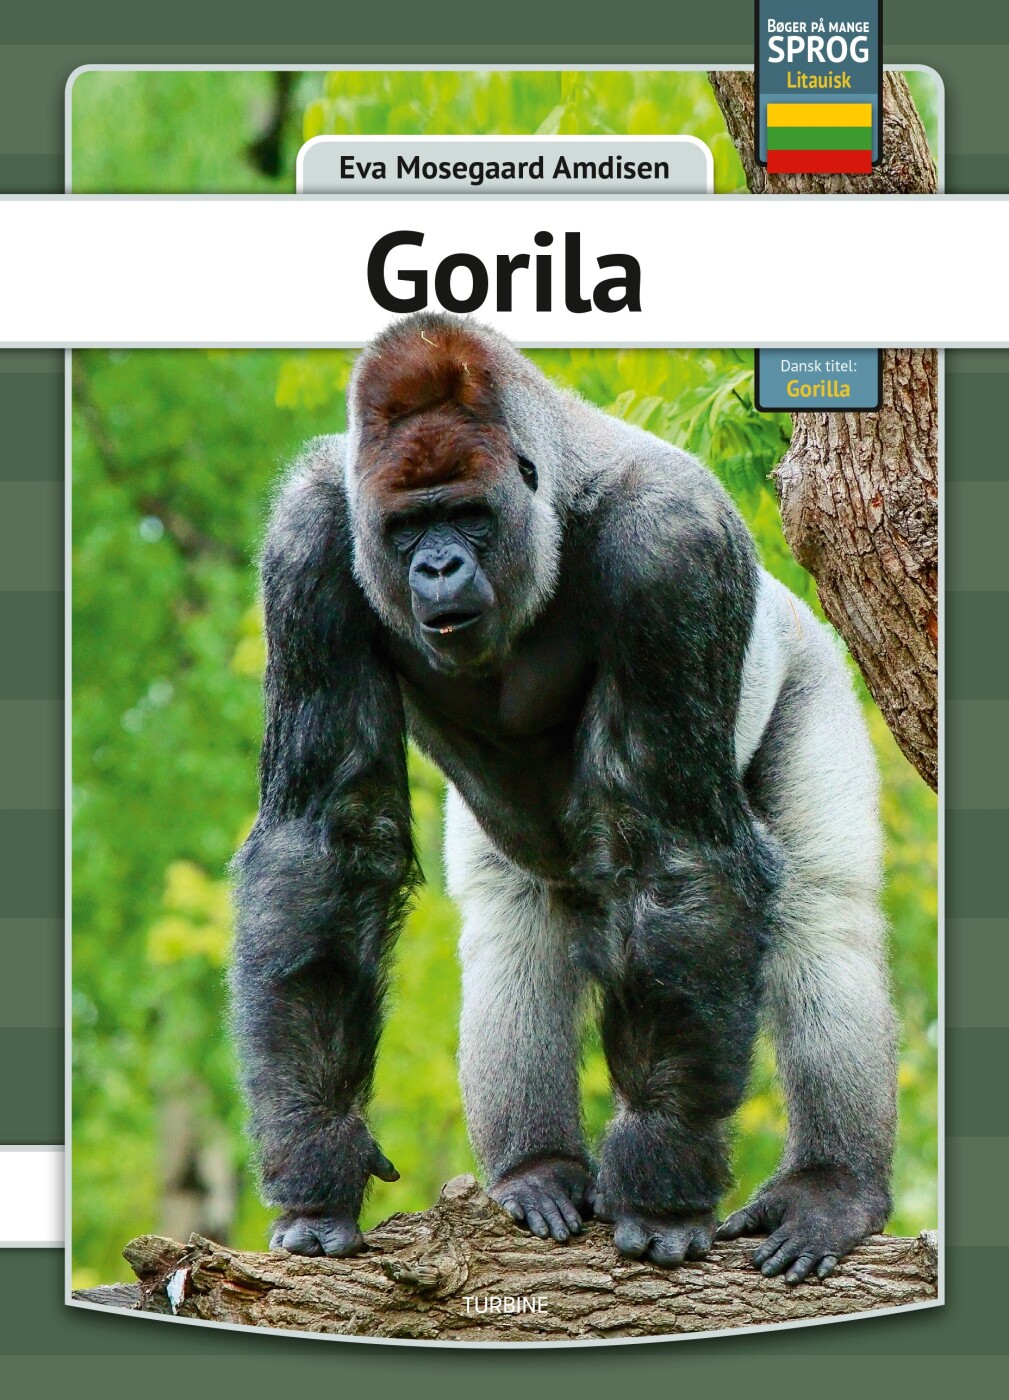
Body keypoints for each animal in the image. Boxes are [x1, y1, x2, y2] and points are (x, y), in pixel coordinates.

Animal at [230, 311, 897, 1284]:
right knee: (513, 927)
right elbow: (323, 843)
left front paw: (661, 1183)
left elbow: (675, 854)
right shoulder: (309, 540)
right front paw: (319, 1159)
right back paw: (534, 1170)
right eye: (407, 527)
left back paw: (830, 1187)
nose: (436, 568)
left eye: (467, 516)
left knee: (822, 913)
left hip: (807, 660)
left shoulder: (673, 545)